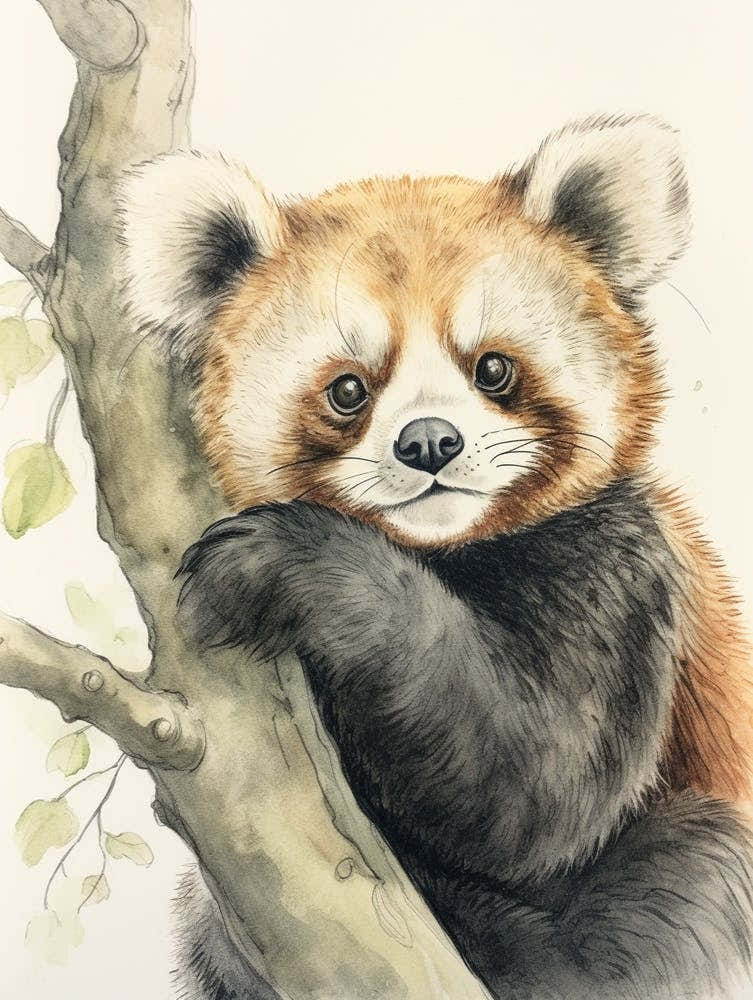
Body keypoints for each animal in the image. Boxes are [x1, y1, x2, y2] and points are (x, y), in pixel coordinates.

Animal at [119, 115, 753, 1000]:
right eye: (348, 390)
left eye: (492, 368)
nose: (428, 443)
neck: (443, 552)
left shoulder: (623, 577)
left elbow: (536, 786)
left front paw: (292, 563)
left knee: (691, 884)